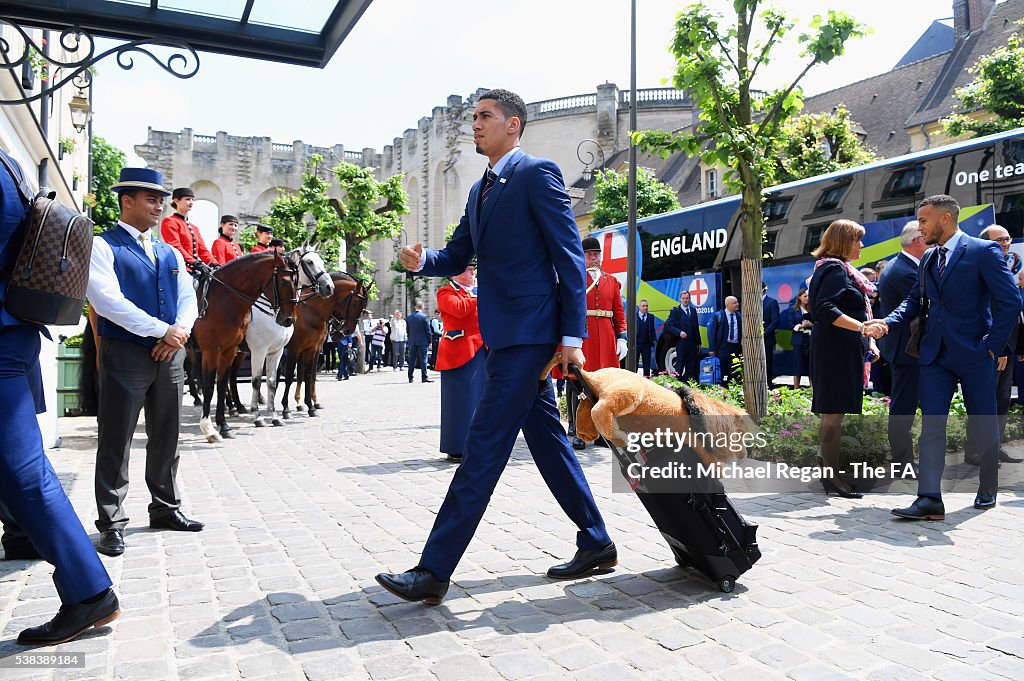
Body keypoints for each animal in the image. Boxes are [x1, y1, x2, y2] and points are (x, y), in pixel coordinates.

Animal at [192, 250, 299, 440]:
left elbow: (223, 384)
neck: (222, 302)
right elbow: (211, 385)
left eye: (297, 281)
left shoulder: (231, 350)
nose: (289, 319)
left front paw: (224, 426)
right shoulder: (213, 350)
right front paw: (209, 428)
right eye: (283, 282)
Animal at [284, 274, 368, 417]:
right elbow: (291, 376)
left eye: (363, 306)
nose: (348, 331)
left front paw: (311, 404)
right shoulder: (294, 349)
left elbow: (309, 375)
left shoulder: (313, 349)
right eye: (356, 302)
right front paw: (289, 407)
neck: (310, 312)